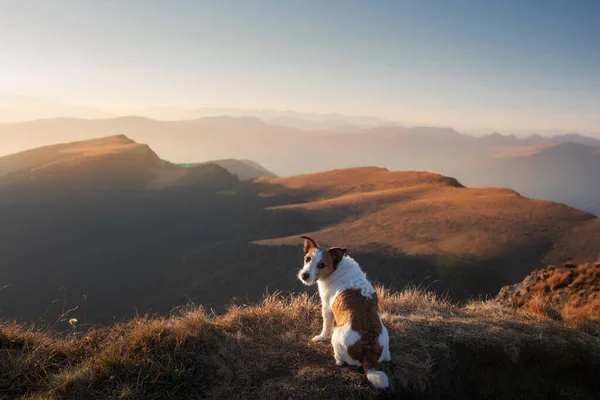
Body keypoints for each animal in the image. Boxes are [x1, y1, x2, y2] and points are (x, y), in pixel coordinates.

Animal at [298, 236, 392, 390]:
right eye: (307, 259)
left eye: (322, 265)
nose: (304, 275)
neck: (337, 268)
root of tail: (368, 350)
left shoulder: (327, 307)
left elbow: (326, 326)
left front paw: (321, 337)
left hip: (336, 337)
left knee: (340, 358)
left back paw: (337, 360)